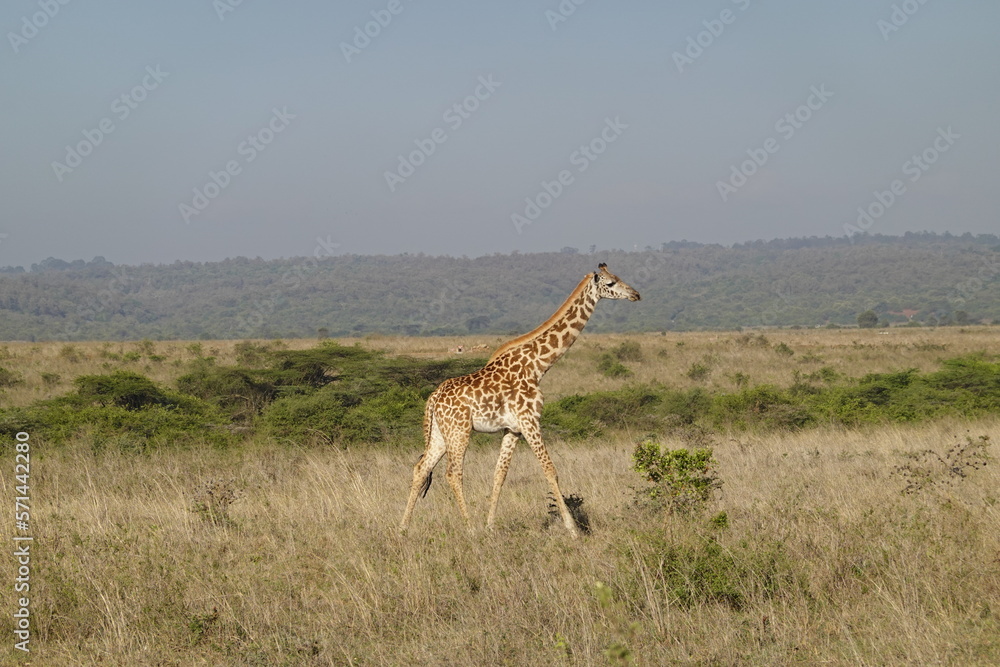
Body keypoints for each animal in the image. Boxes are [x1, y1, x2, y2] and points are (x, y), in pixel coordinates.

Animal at [399, 263, 640, 538]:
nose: (636, 294)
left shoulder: (512, 429)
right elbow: (550, 469)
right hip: (459, 430)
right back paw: (470, 528)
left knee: (421, 468)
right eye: (611, 283)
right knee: (453, 473)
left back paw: (403, 528)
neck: (538, 365)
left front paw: (491, 526)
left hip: (441, 433)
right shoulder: (530, 420)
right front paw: (573, 530)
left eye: (619, 277)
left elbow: (499, 474)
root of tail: (433, 397)